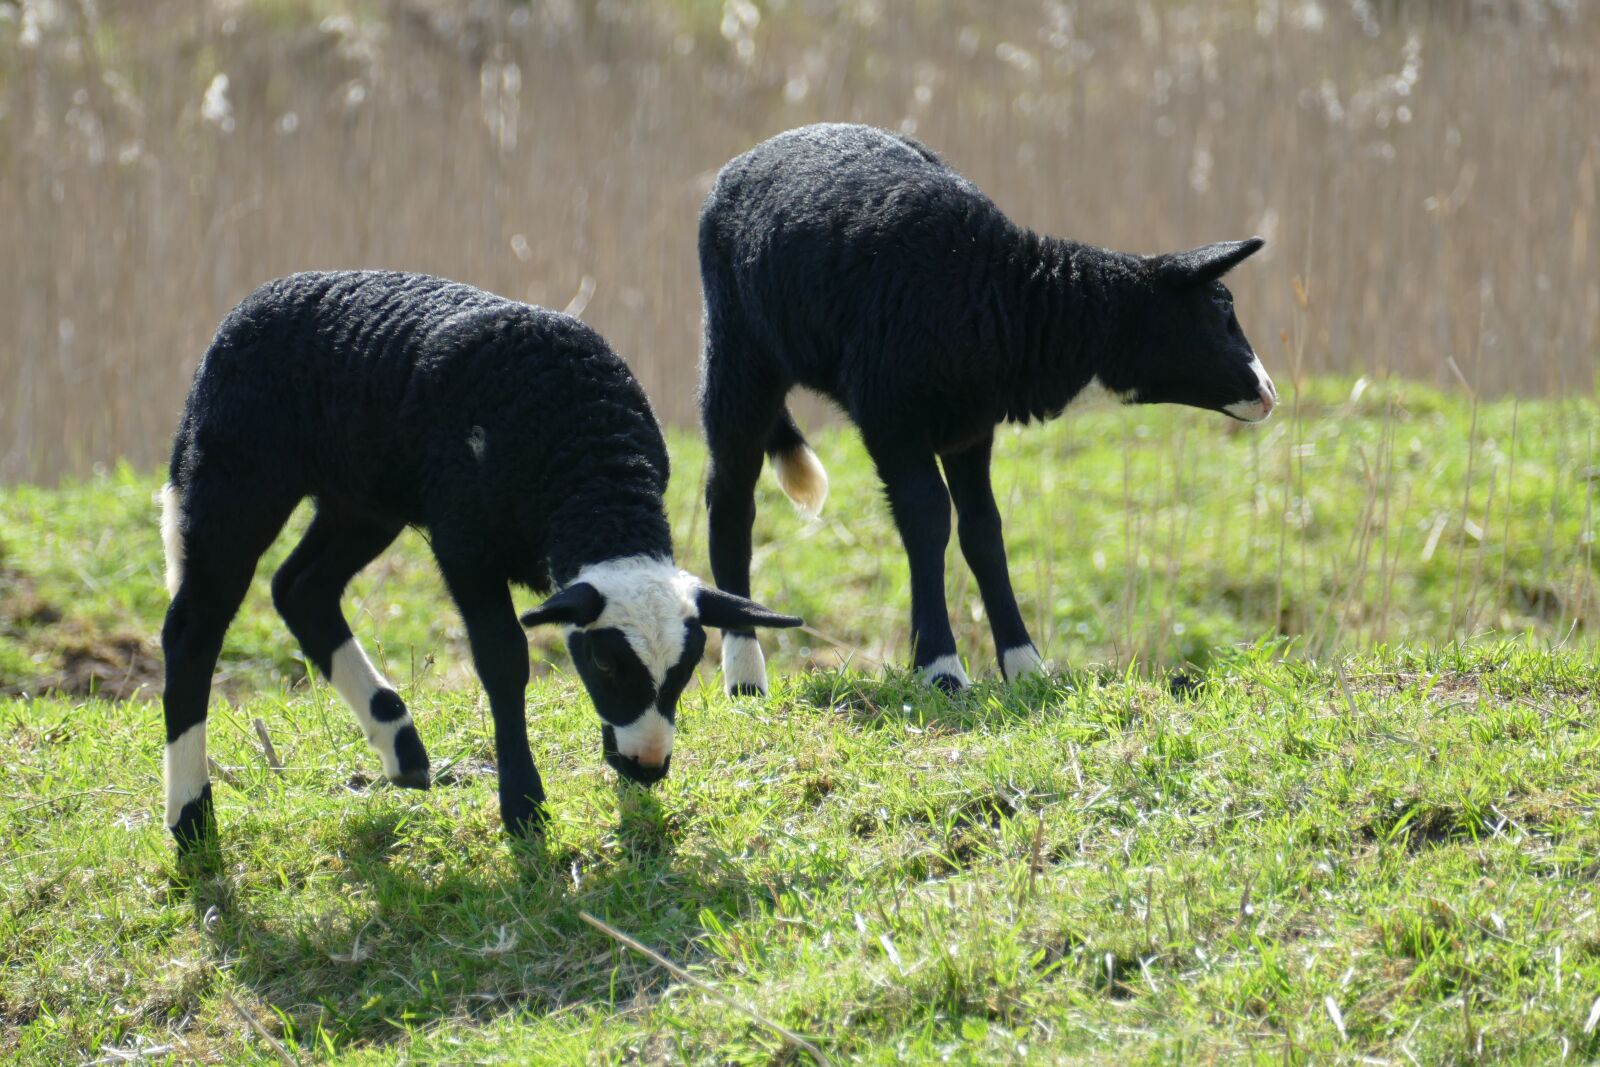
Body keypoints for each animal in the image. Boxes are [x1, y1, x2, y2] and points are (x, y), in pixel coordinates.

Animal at [160, 271, 801, 853]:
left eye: (687, 667)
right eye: (606, 661)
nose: (647, 766)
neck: (589, 462)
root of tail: (255, 302)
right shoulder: (464, 544)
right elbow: (503, 660)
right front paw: (524, 807)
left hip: (361, 502)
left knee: (301, 588)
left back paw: (401, 745)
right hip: (237, 473)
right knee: (195, 626)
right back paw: (191, 820)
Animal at [697, 123, 1275, 694]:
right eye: (1220, 310)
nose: (1269, 393)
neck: (1009, 297)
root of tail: (755, 152)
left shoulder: (971, 428)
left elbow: (984, 531)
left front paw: (1025, 665)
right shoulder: (890, 415)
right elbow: (928, 517)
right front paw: (940, 668)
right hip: (738, 356)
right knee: (731, 502)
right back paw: (744, 674)